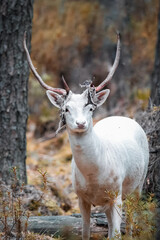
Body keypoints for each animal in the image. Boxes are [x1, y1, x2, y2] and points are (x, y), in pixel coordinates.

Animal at [23, 32, 149, 239]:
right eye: (66, 108)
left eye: (90, 108)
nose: (81, 123)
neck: (94, 177)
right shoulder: (81, 197)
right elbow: (85, 232)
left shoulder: (116, 194)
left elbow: (116, 234)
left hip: (139, 182)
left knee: (132, 218)